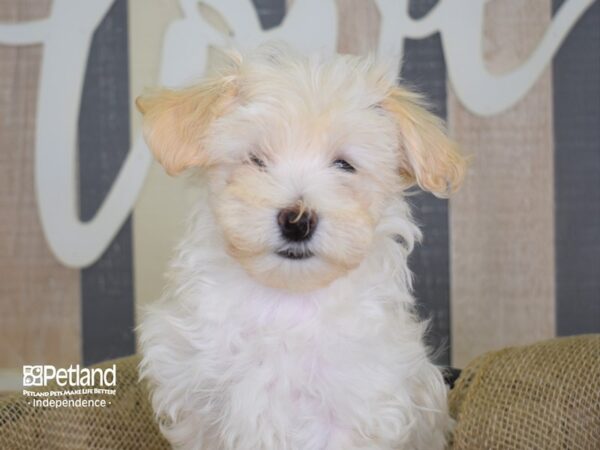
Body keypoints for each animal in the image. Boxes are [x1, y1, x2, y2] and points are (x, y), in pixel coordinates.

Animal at [136, 43, 464, 450]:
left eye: (344, 165)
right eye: (256, 160)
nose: (297, 221)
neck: (284, 302)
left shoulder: (351, 410)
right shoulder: (201, 410)